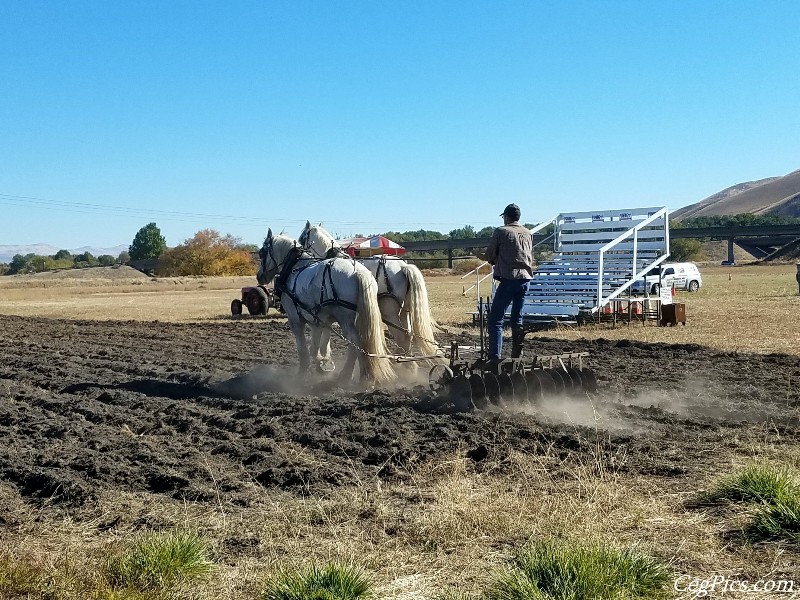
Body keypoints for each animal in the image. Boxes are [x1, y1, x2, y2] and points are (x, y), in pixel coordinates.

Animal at [258, 230, 396, 384]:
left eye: (262, 253)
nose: (259, 276)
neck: (294, 268)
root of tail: (358, 272)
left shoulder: (295, 319)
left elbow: (305, 349)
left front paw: (305, 371)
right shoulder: (319, 320)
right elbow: (318, 345)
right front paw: (324, 363)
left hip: (345, 318)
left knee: (355, 342)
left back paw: (354, 376)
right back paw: (356, 375)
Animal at [298, 224, 440, 356]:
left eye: (301, 238)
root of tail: (403, 266)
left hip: (389, 311)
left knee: (401, 335)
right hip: (405, 310)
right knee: (408, 333)